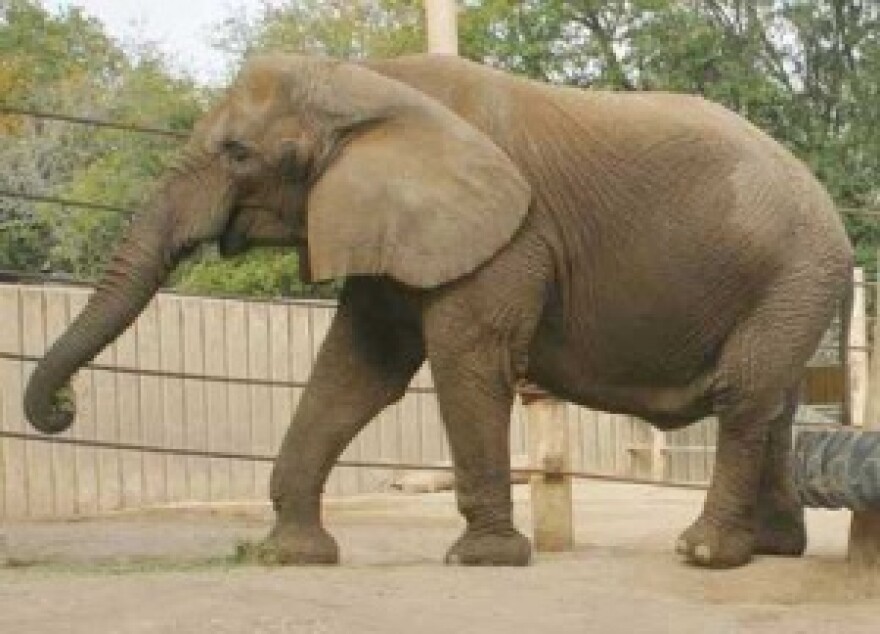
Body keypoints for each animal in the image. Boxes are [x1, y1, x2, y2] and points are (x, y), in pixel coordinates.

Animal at [24, 53, 853, 569]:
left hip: (792, 272)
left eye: (236, 153)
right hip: (789, 283)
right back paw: (771, 550)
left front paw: (482, 560)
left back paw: (704, 554)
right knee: (773, 405)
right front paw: (289, 555)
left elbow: (465, 359)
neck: (366, 80)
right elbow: (358, 368)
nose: (64, 408)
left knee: (744, 398)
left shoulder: (505, 236)